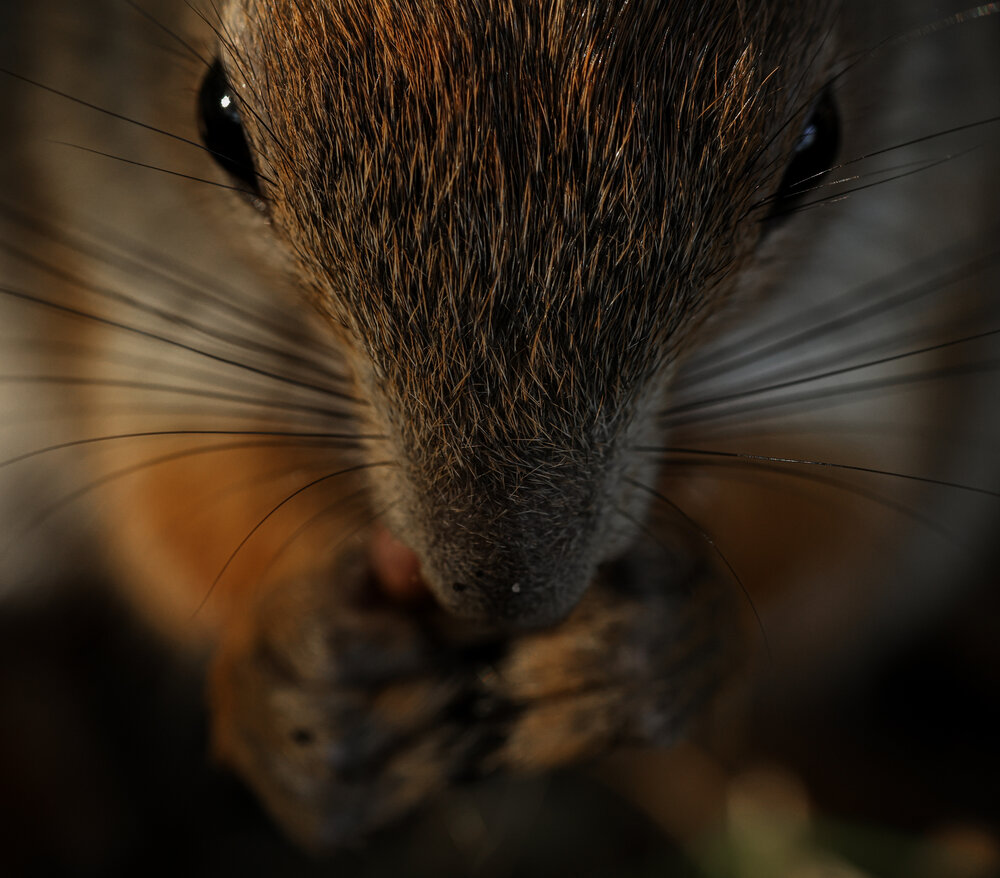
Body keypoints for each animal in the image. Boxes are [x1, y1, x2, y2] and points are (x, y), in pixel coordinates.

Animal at [1, 0, 998, 853]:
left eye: (817, 145)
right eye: (220, 124)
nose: (507, 598)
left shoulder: (879, 318)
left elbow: (837, 528)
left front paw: (671, 641)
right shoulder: (152, 299)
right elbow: (179, 499)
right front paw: (294, 680)